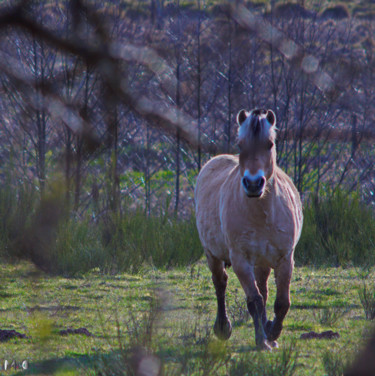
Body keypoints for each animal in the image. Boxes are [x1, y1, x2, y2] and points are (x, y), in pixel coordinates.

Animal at [195, 108, 304, 350]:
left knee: (263, 289)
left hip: (262, 262)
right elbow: (254, 301)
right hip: (212, 253)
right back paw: (223, 327)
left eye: (270, 144)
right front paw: (262, 340)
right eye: (240, 144)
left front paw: (272, 333)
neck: (262, 213)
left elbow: (281, 302)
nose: (254, 184)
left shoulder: (285, 258)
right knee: (220, 283)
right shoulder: (240, 260)